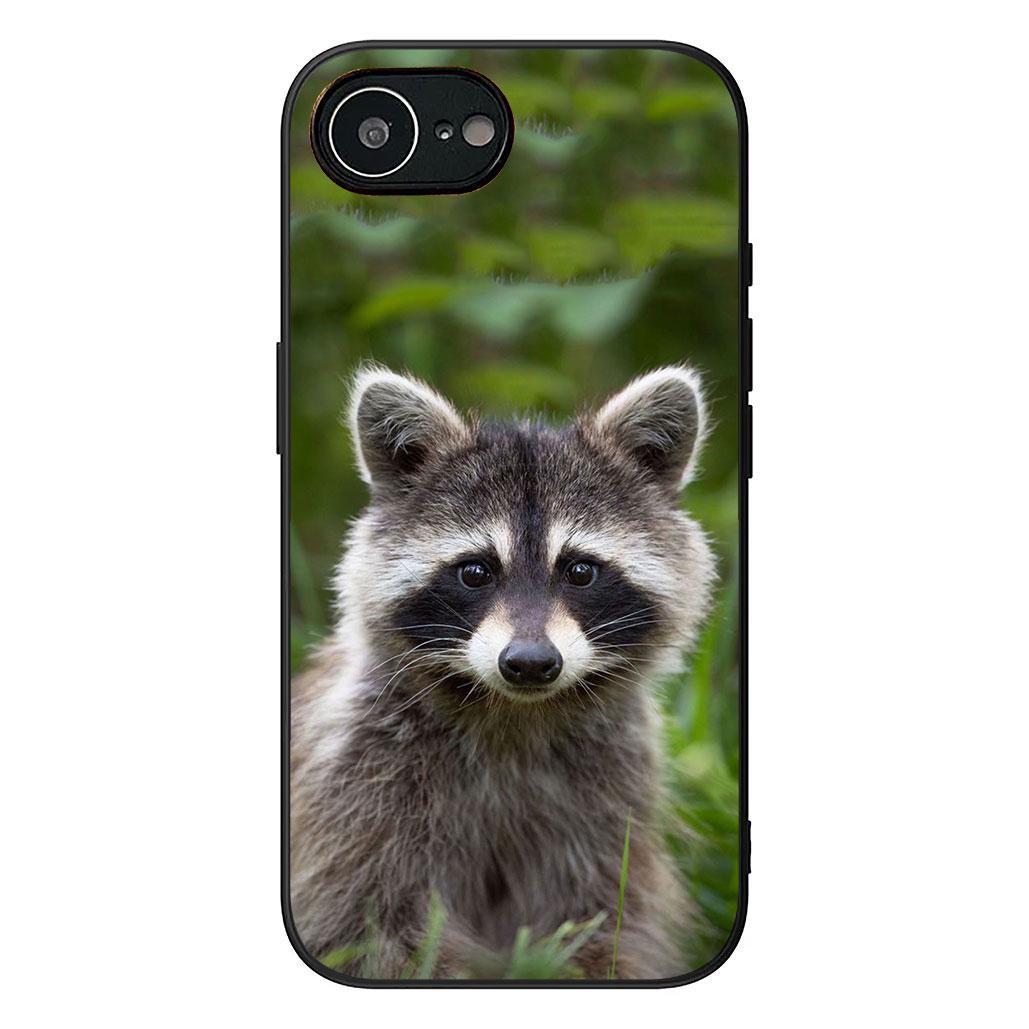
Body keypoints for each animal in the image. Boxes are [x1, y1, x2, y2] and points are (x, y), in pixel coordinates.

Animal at [289, 364, 717, 980]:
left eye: (580, 570)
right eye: (475, 571)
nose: (530, 663)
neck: (513, 712)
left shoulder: (612, 798)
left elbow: (610, 922)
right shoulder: (355, 785)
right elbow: (374, 927)